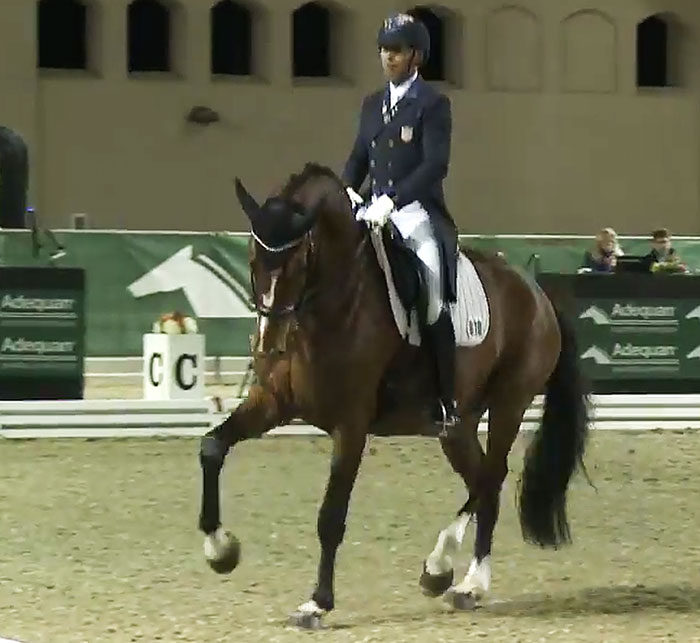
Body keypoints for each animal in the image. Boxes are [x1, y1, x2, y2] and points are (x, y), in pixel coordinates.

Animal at [197, 162, 590, 629]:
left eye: (298, 261)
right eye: (252, 259)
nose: (267, 345)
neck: (334, 302)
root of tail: (536, 292)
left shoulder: (351, 424)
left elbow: (331, 516)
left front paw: (317, 603)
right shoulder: (274, 402)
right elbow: (212, 447)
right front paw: (221, 550)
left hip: (510, 403)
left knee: (492, 476)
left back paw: (443, 568)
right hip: (457, 425)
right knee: (485, 485)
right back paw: (467, 586)